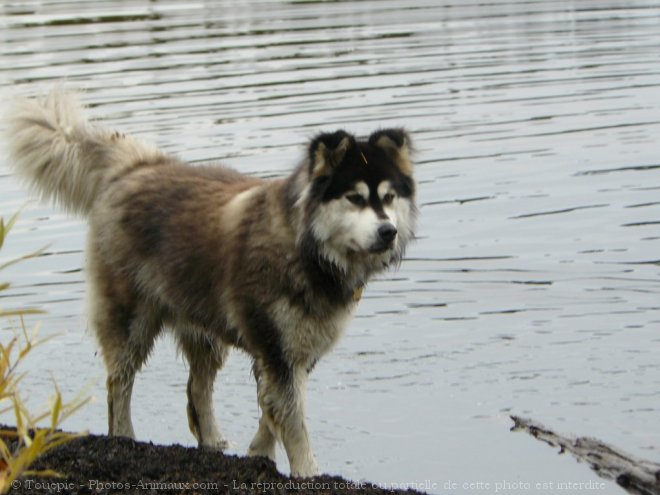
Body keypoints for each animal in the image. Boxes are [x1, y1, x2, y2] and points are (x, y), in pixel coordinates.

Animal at [6, 91, 418, 478]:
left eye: (388, 197)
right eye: (354, 198)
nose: (388, 231)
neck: (307, 251)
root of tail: (136, 165)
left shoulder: (295, 352)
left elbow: (272, 412)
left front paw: (259, 454)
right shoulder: (276, 348)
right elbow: (292, 420)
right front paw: (307, 471)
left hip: (205, 330)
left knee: (196, 389)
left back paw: (213, 442)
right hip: (131, 322)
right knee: (118, 383)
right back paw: (124, 436)